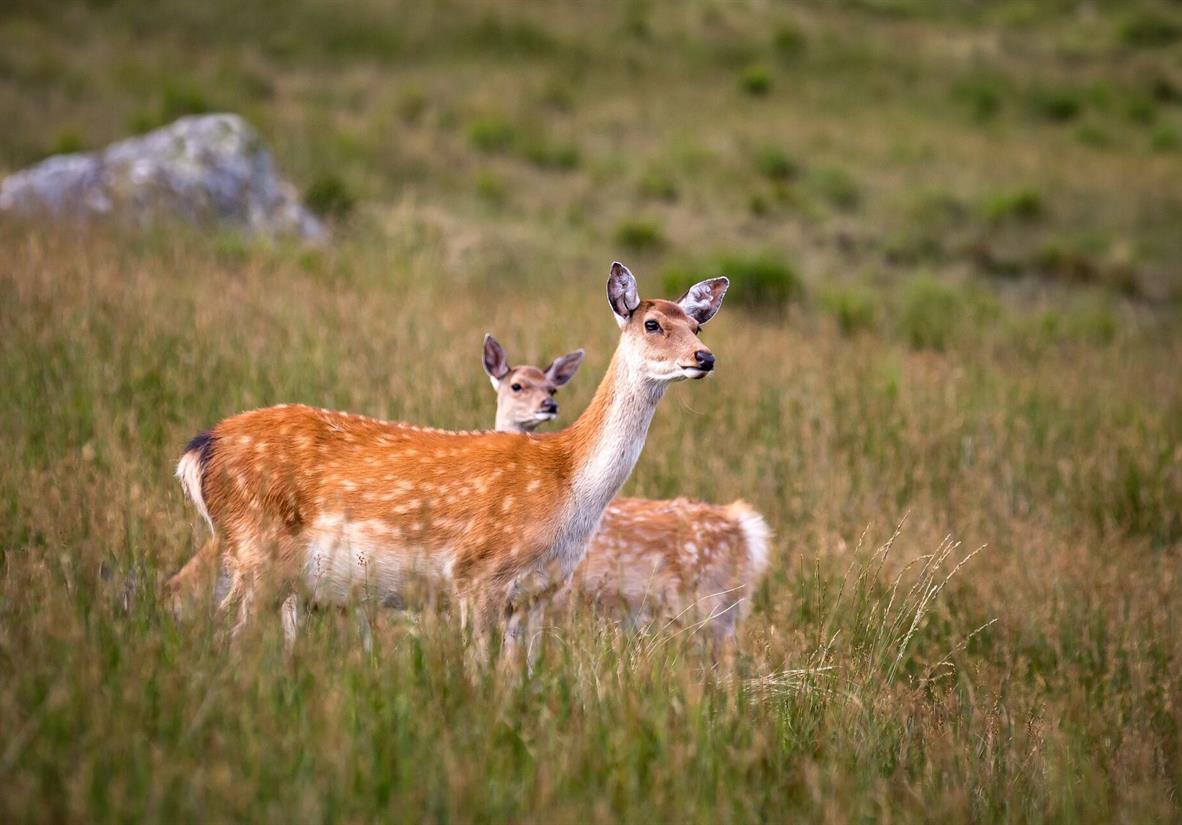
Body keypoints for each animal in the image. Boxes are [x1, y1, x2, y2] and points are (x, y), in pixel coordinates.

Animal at [170, 262, 729, 654]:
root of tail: (198, 451)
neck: (567, 486)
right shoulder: (477, 573)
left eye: (698, 326)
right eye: (652, 323)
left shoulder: (538, 595)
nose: (704, 358)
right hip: (257, 546)